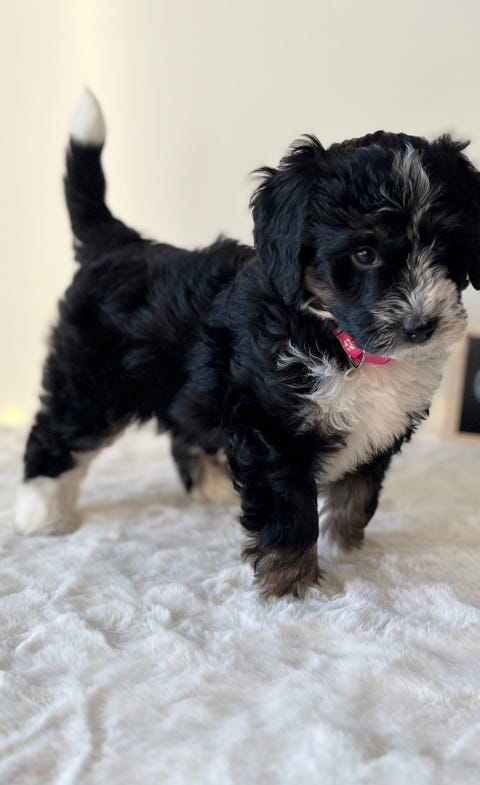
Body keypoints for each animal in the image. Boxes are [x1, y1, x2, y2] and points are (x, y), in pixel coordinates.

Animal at [14, 89, 480, 597]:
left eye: (446, 248)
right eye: (364, 254)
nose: (422, 326)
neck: (337, 338)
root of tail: (118, 244)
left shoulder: (378, 429)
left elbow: (356, 493)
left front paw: (348, 550)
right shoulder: (272, 427)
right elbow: (288, 509)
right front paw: (294, 585)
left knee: (184, 426)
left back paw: (213, 486)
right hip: (93, 380)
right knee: (57, 433)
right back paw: (41, 515)